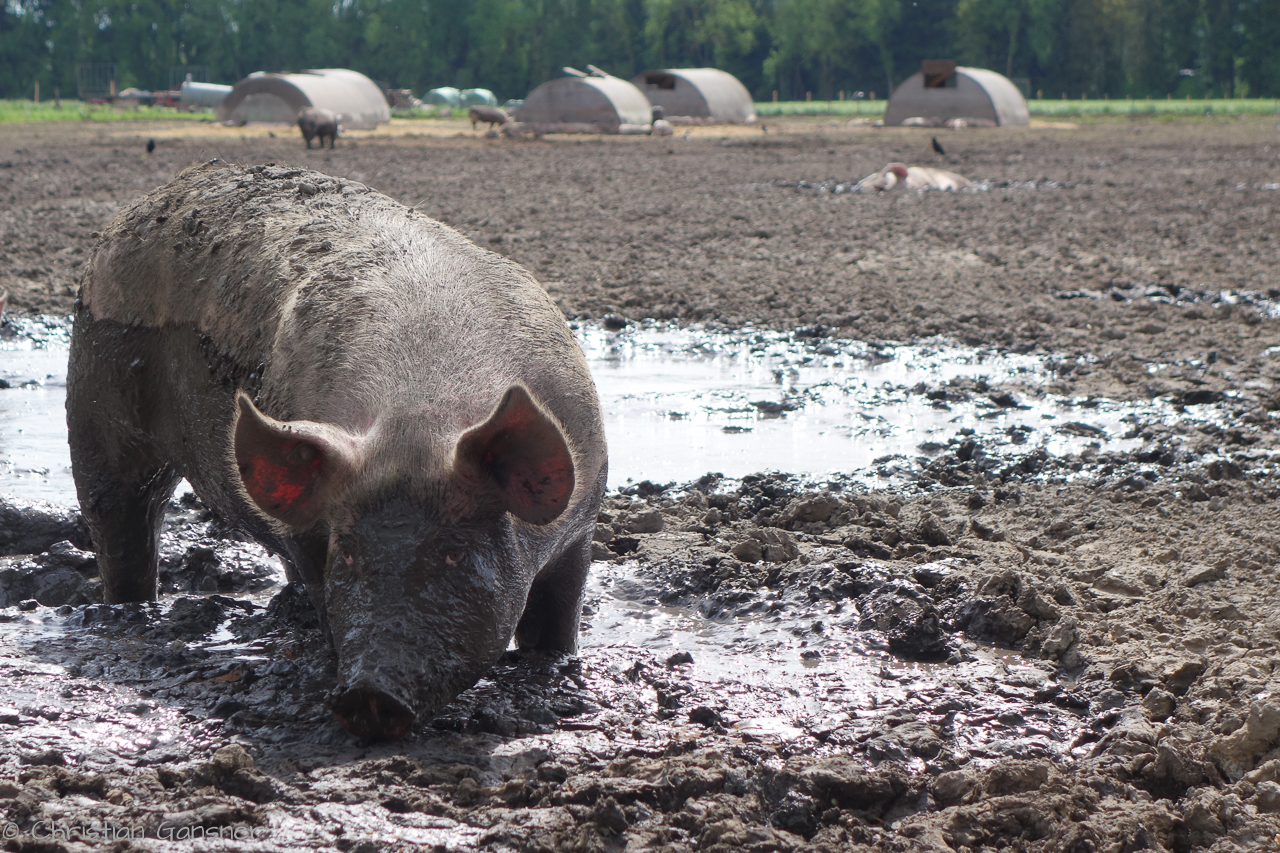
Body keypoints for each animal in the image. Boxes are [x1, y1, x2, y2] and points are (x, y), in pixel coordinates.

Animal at [68, 160, 608, 739]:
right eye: (348, 550)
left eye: (454, 553)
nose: (368, 695)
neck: (418, 422)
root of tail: (143, 205)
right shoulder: (312, 536)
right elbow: (321, 588)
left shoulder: (581, 521)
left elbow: (559, 613)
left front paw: (553, 664)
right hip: (94, 398)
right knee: (118, 517)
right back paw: (128, 611)